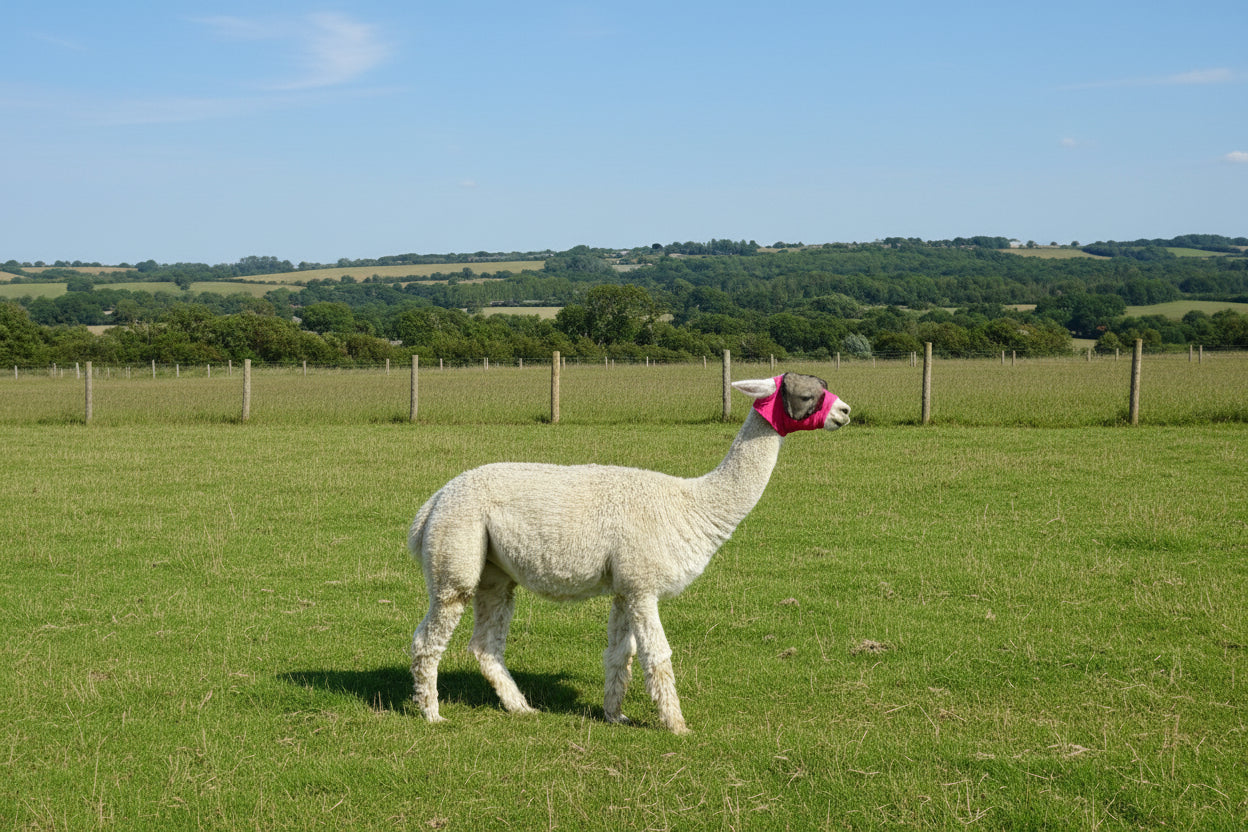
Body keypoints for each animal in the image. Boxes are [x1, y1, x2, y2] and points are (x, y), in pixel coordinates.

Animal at [406, 372, 851, 733]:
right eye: (807, 394)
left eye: (822, 386)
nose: (845, 411)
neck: (692, 505)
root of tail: (432, 504)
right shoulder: (642, 584)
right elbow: (658, 655)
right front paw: (676, 725)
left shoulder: (625, 587)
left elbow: (621, 654)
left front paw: (615, 715)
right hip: (456, 553)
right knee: (428, 638)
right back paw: (432, 713)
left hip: (494, 573)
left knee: (485, 645)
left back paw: (520, 707)